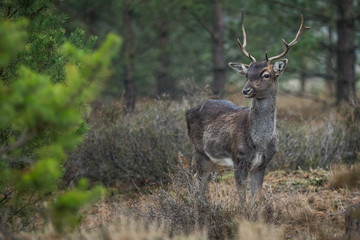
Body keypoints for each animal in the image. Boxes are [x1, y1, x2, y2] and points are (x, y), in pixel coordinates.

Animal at [186, 12, 310, 201]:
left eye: (266, 74)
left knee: (203, 183)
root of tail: (188, 111)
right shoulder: (239, 160)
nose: (246, 90)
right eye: (247, 74)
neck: (259, 143)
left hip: (212, 159)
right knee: (196, 181)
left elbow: (255, 198)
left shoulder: (263, 164)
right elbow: (242, 200)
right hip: (199, 150)